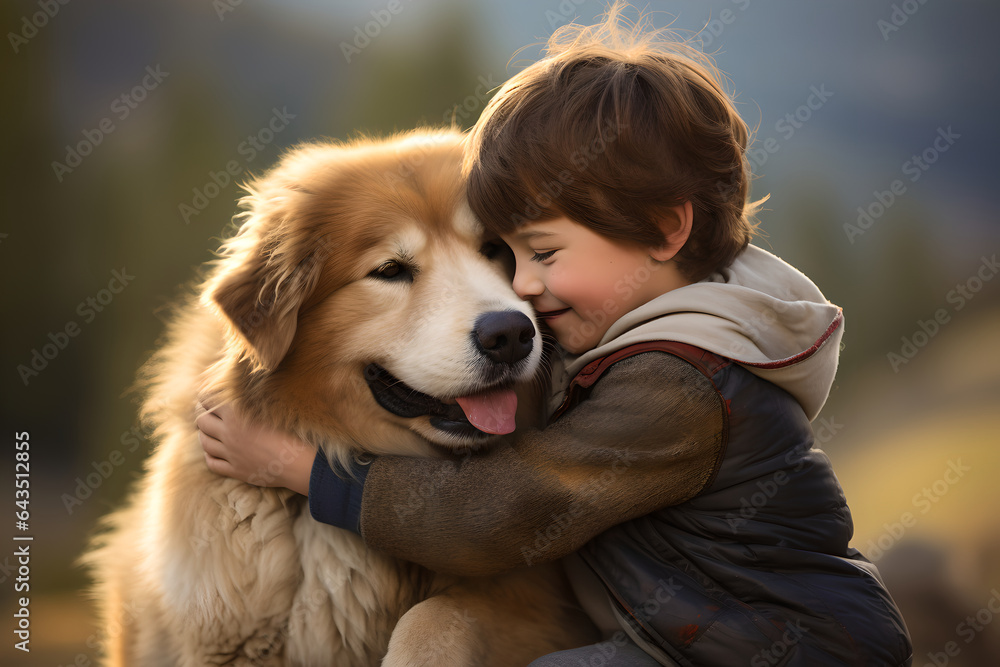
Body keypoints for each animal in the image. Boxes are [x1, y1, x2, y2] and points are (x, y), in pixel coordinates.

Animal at [84, 128, 592, 664]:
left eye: (495, 248)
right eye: (390, 270)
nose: (510, 335)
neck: (344, 450)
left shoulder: (530, 602)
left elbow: (434, 616)